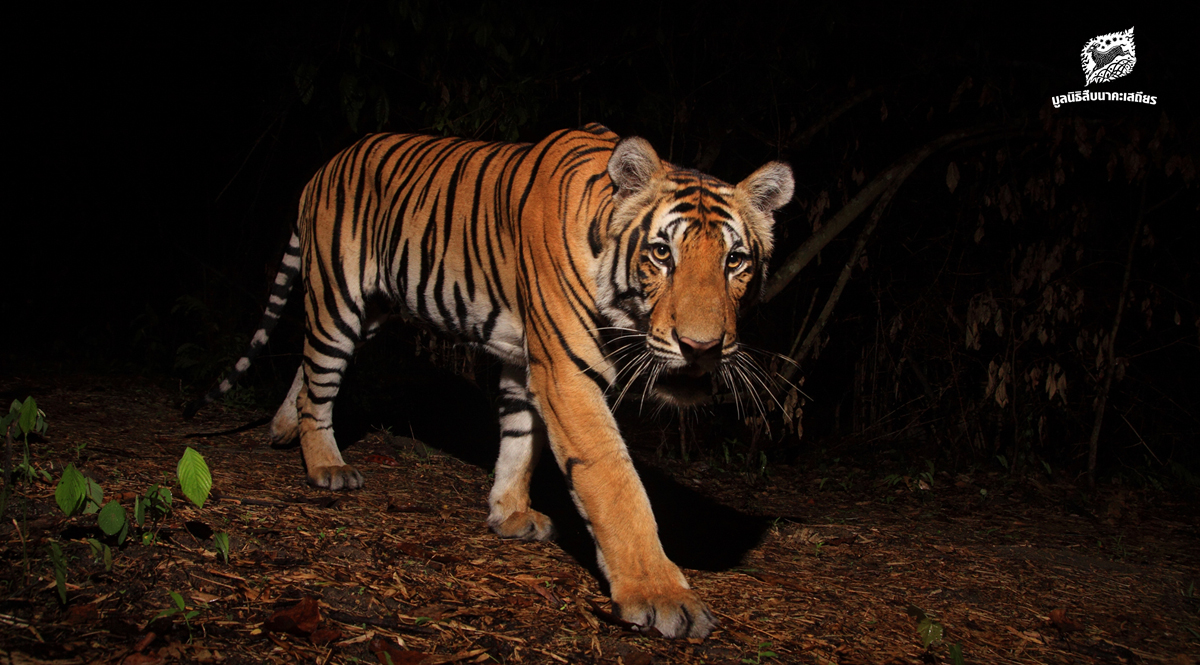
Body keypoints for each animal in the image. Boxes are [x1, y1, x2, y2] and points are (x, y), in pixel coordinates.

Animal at [182, 124, 792, 638]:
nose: (702, 348)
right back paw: (326, 465)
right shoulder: (567, 373)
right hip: (340, 296)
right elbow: (614, 483)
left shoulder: (530, 366)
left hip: (374, 309)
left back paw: (284, 428)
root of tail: (324, 167)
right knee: (323, 374)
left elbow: (520, 443)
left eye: (735, 261)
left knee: (308, 369)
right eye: (662, 253)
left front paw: (508, 514)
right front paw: (662, 596)